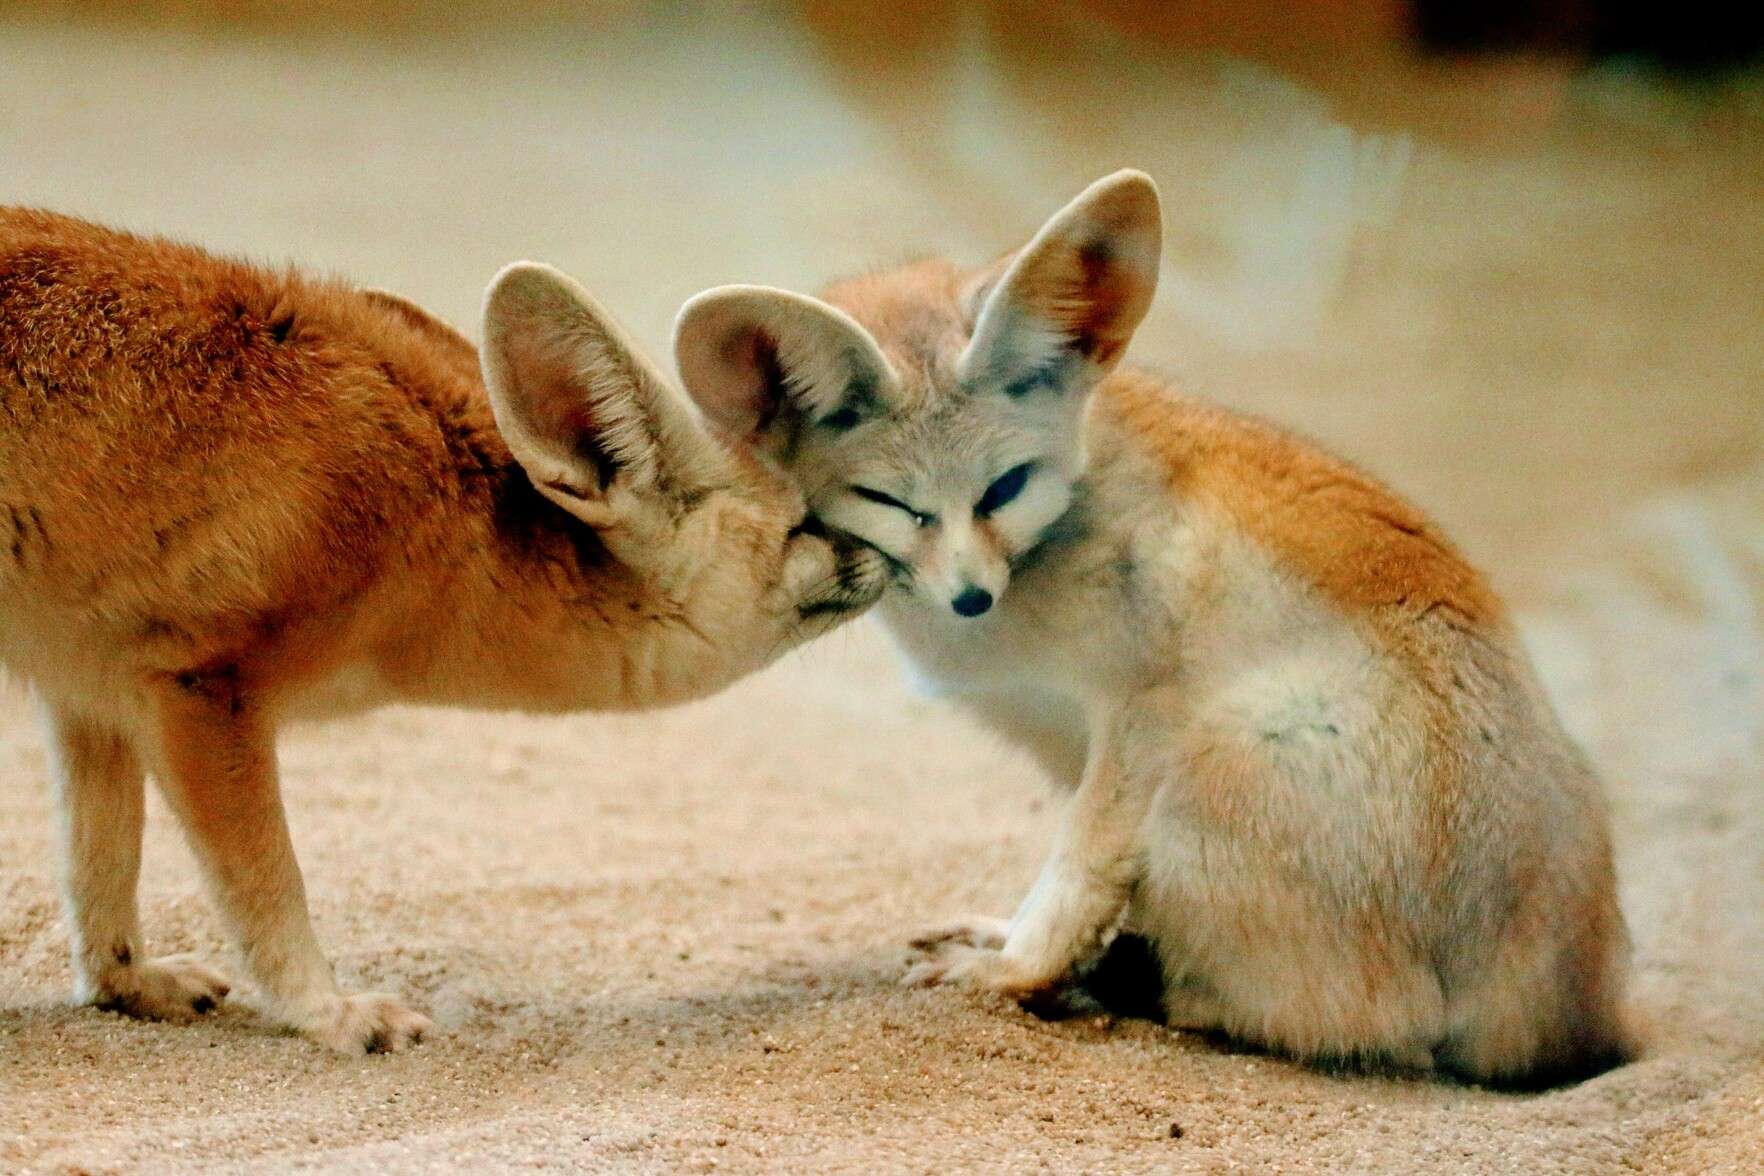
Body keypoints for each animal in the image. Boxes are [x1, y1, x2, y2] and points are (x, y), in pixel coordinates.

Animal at [0, 209, 882, 1053]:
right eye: (805, 524)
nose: (887, 556)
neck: (433, 507)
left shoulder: (87, 689)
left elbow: (98, 864)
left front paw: (123, 983)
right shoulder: (201, 693)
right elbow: (265, 884)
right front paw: (325, 1012)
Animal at [671, 171, 1633, 1086]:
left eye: (1004, 489)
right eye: (890, 504)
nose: (972, 597)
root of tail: (1578, 1019)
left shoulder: (1144, 711)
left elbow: (1080, 865)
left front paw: (1015, 974)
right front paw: (1011, 944)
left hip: (1222, 766)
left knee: (1373, 1025)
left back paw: (1151, 993)